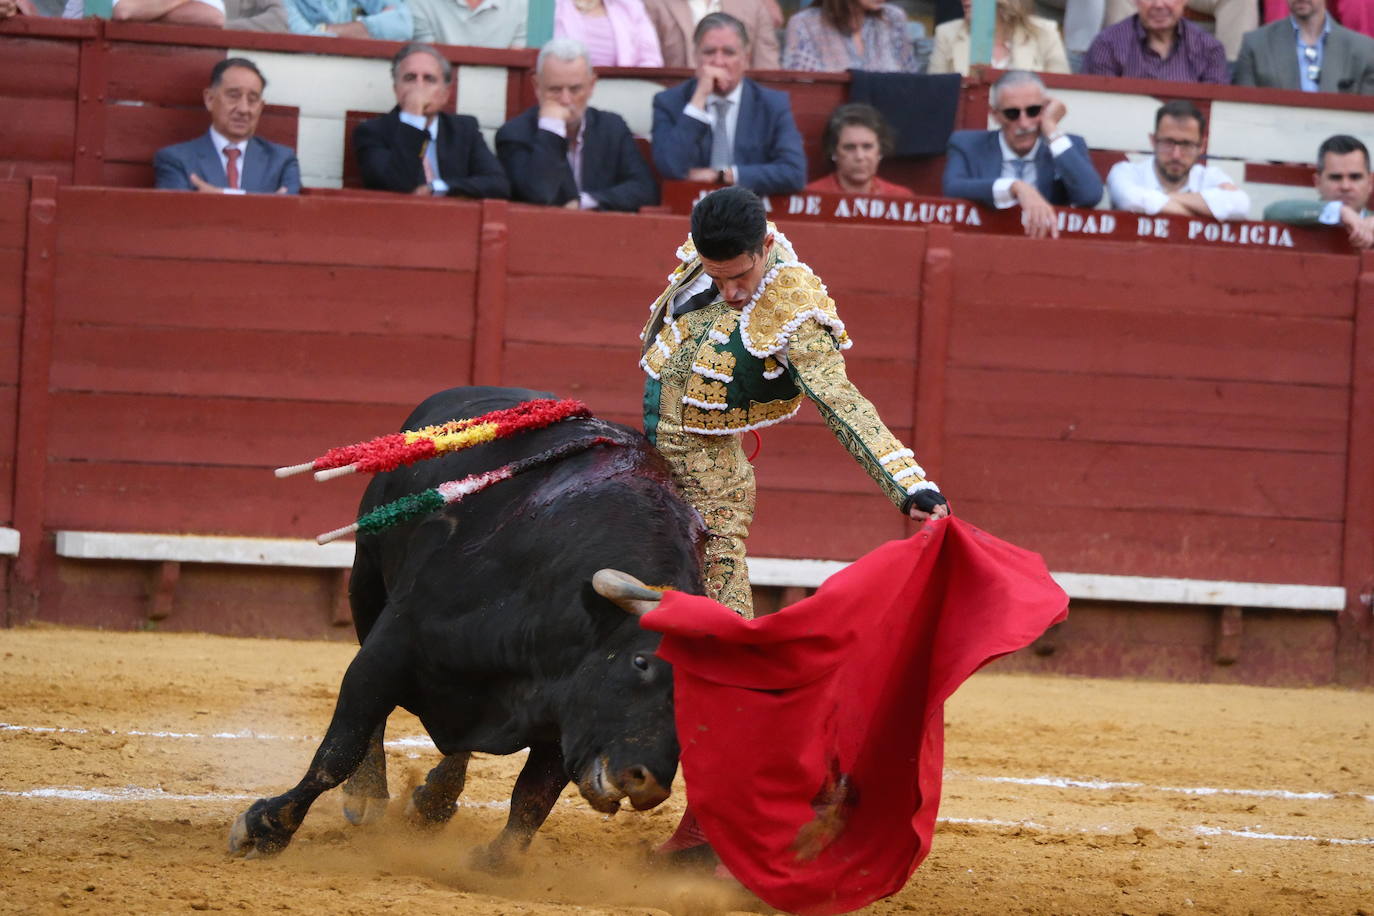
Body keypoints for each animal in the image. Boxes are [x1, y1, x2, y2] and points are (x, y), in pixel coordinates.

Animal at [226, 387, 703, 867]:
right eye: (641, 662)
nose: (650, 783)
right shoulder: (390, 650)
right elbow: (339, 749)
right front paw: (265, 828)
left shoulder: (565, 712)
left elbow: (533, 797)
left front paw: (493, 863)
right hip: (365, 583)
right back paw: (367, 796)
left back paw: (434, 801)